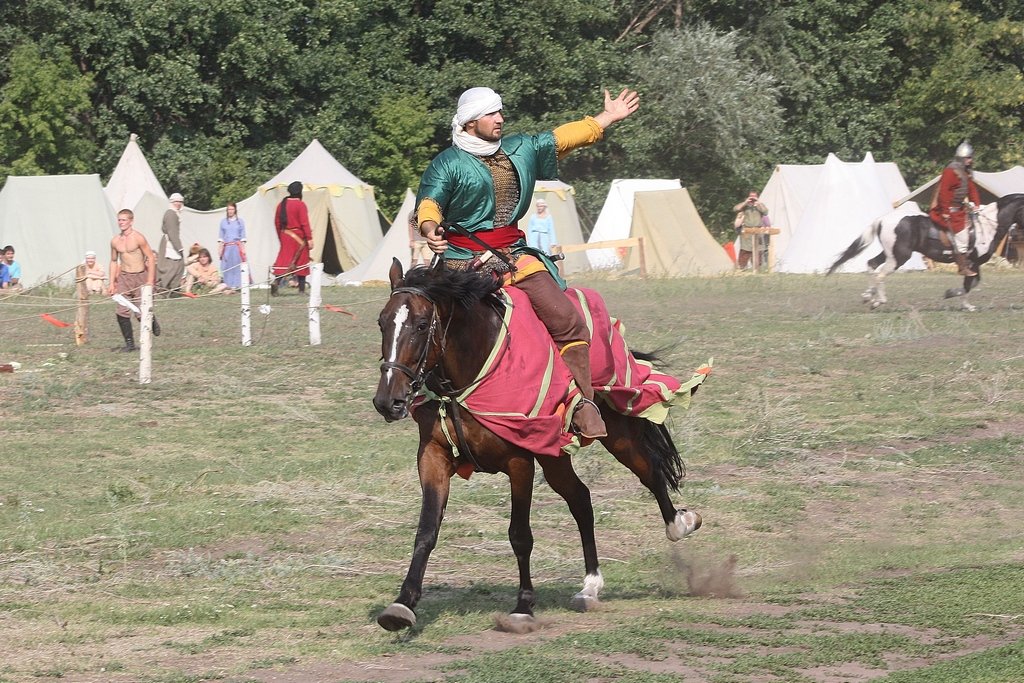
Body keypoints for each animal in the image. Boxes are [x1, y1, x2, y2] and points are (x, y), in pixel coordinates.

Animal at [374, 260, 704, 630]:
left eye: (420, 325)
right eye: (382, 322)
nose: (388, 401)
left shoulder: (520, 461)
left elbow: (520, 535)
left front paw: (523, 606)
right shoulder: (432, 457)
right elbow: (427, 530)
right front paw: (402, 603)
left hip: (618, 434)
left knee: (649, 470)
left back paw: (680, 524)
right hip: (555, 456)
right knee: (581, 499)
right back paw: (590, 586)